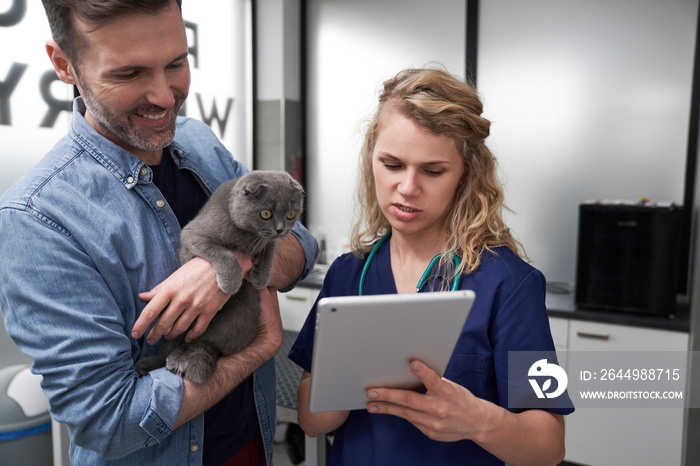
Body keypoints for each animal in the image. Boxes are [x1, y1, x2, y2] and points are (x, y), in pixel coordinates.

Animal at [134, 170, 304, 382]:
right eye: (266, 214)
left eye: (291, 215)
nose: (280, 229)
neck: (246, 235)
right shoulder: (193, 234)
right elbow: (224, 253)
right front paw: (231, 283)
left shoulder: (267, 239)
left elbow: (270, 248)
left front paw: (260, 277)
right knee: (179, 344)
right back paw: (168, 361)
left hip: (237, 317)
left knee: (200, 342)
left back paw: (179, 359)